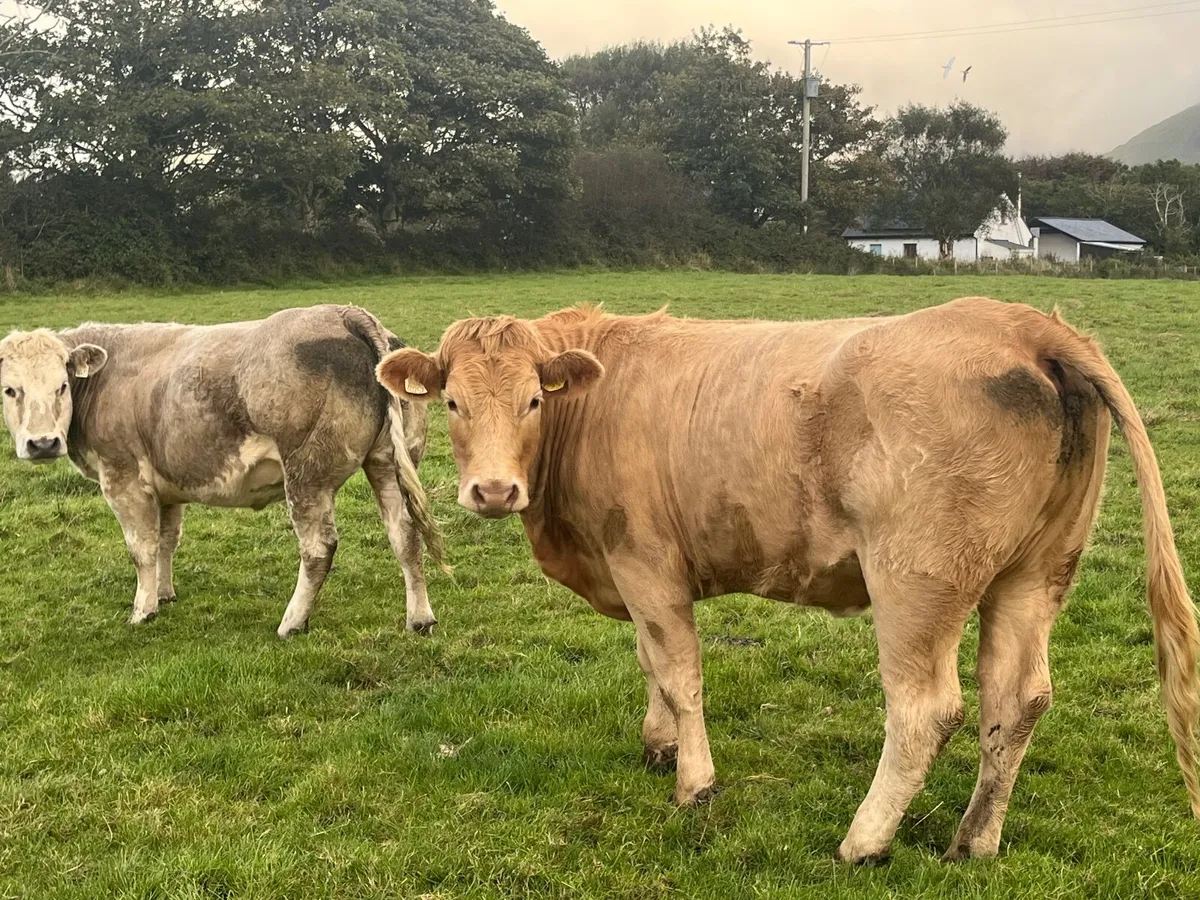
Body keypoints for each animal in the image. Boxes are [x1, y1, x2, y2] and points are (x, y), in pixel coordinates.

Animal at [0, 305, 444, 638]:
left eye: (61, 386)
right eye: (9, 389)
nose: (42, 443)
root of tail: (345, 312)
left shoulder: (123, 479)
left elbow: (142, 549)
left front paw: (143, 610)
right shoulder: (168, 484)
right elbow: (167, 541)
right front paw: (164, 594)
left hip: (307, 474)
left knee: (318, 547)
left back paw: (292, 622)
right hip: (385, 463)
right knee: (405, 535)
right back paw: (420, 617)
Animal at [375, 296, 1200, 862]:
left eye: (532, 400)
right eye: (453, 401)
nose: (492, 492)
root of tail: (1022, 323)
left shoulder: (647, 563)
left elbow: (680, 672)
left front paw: (694, 783)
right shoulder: (632, 572)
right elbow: (651, 662)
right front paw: (657, 743)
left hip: (916, 584)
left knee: (926, 711)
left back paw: (863, 842)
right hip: (1034, 574)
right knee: (1017, 700)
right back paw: (972, 841)